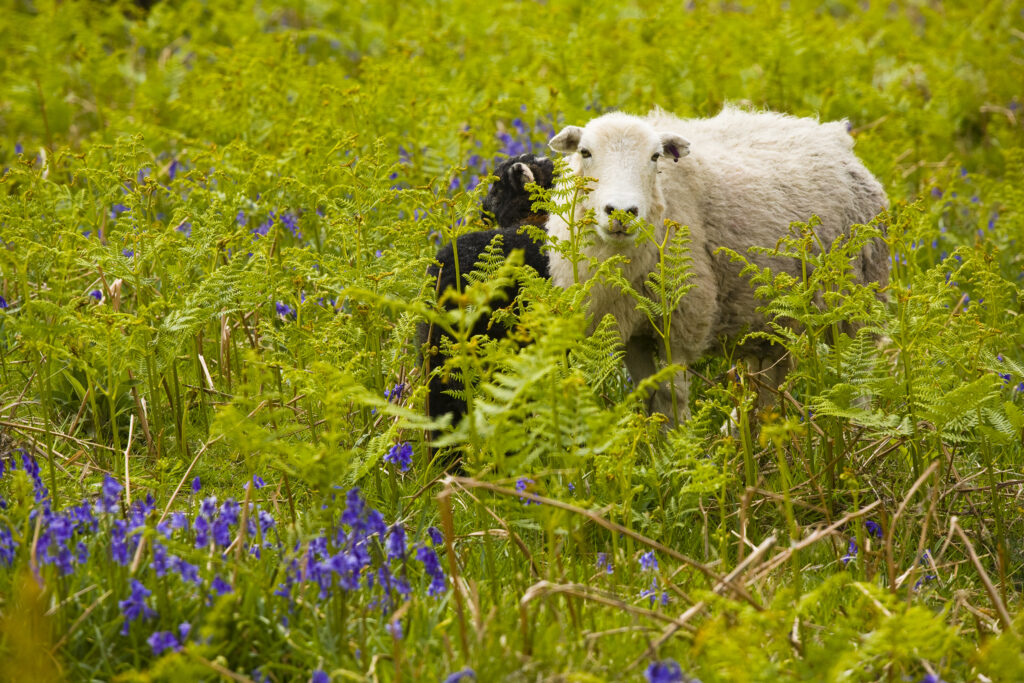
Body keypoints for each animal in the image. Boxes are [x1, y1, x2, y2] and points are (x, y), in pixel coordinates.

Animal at [546, 106, 889, 423]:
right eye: (585, 152)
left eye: (655, 156)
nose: (621, 212)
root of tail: (831, 133)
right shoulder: (626, 329)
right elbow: (649, 395)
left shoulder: (683, 321)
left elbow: (672, 396)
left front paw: (681, 442)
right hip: (772, 319)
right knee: (770, 383)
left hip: (855, 296)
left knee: (859, 374)